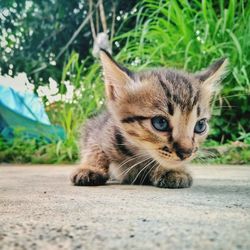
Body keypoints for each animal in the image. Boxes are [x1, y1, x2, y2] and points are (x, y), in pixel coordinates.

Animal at [70, 49, 227, 188]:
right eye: (160, 123)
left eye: (200, 126)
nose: (187, 153)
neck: (139, 152)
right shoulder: (96, 126)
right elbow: (94, 146)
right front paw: (90, 167)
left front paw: (172, 170)